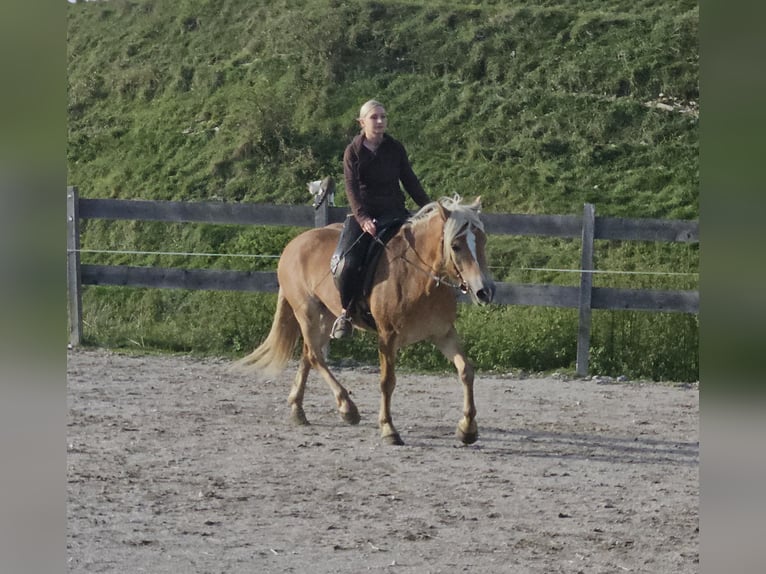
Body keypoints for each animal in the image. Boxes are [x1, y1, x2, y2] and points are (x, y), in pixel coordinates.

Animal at [237, 196, 496, 448]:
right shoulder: (387, 335)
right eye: (456, 246)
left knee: (308, 355)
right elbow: (387, 381)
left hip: (325, 316)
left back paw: (298, 410)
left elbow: (466, 371)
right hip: (307, 313)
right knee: (315, 356)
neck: (418, 278)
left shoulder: (443, 333)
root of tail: (294, 244)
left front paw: (467, 429)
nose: (485, 291)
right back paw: (347, 408)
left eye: (482, 240)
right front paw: (389, 429)